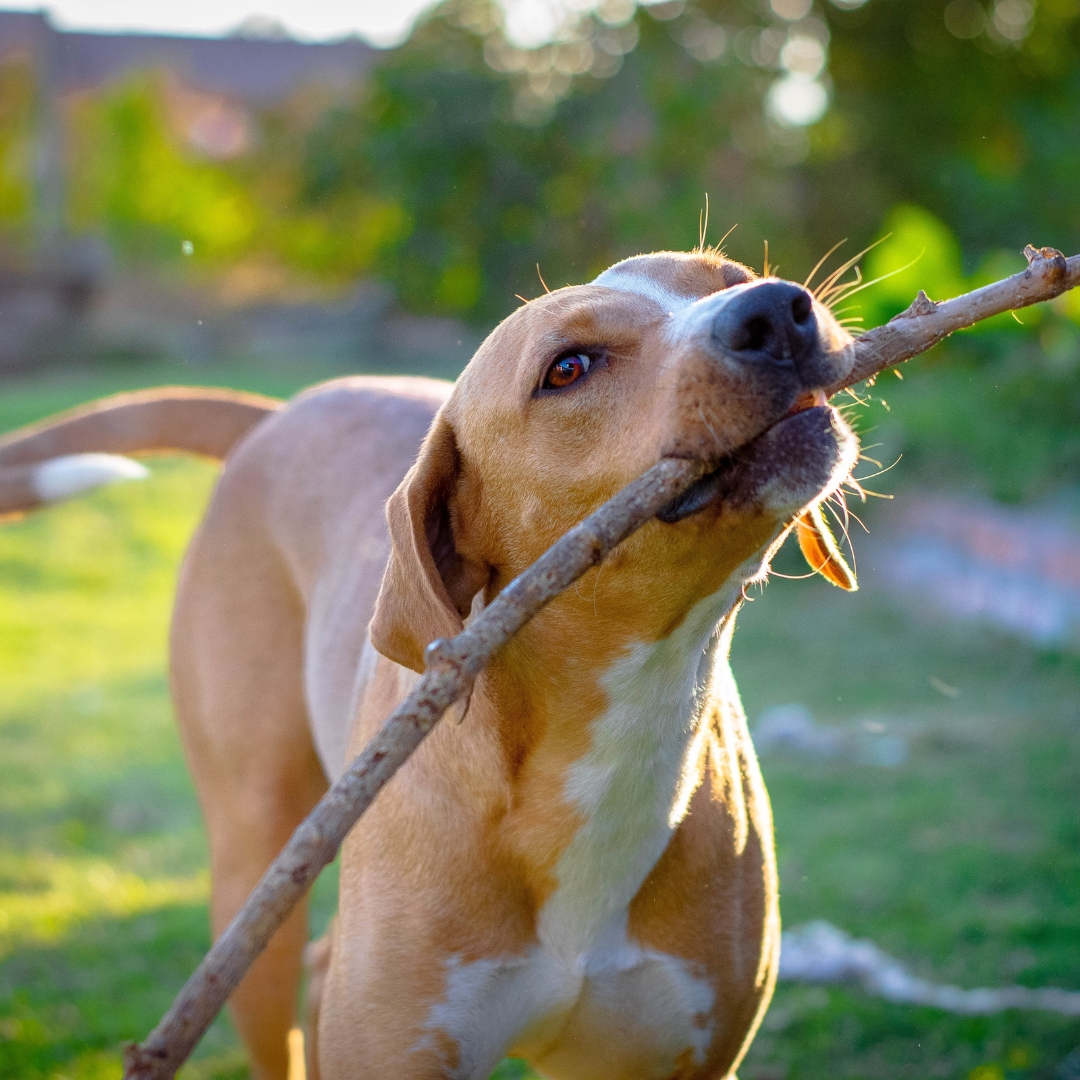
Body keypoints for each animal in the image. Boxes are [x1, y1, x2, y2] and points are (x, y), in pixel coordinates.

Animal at [2, 250, 859, 1080]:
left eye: (732, 277)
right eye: (569, 367)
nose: (776, 309)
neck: (614, 733)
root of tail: (282, 412)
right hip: (255, 877)